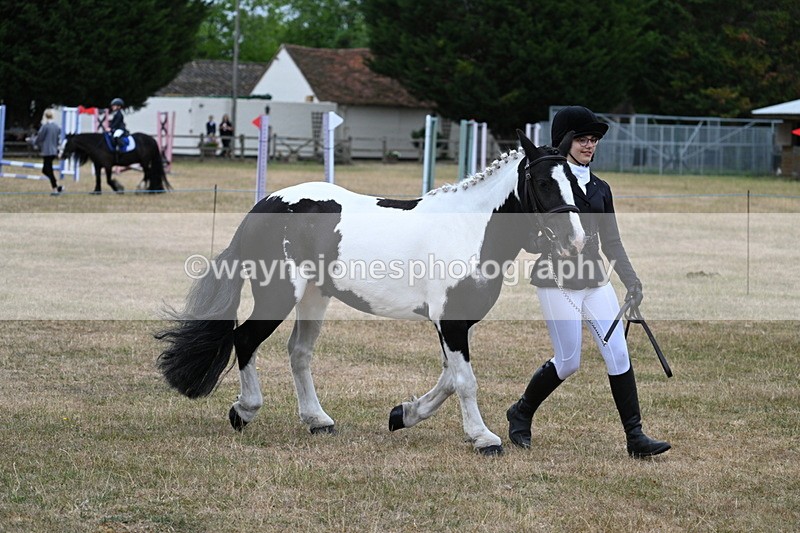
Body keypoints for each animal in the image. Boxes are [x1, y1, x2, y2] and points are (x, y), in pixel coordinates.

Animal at [155, 130, 585, 455]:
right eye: (543, 182)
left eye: (578, 183)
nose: (575, 240)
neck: (468, 228)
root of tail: (263, 206)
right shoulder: (449, 321)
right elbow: (465, 380)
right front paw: (483, 438)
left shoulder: (455, 323)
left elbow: (449, 378)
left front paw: (403, 415)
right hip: (278, 295)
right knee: (244, 339)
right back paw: (244, 411)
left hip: (314, 297)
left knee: (299, 353)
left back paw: (318, 420)